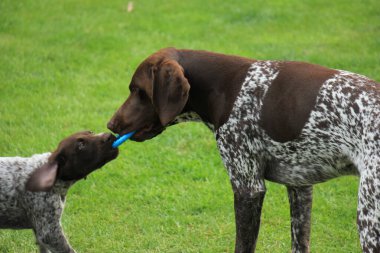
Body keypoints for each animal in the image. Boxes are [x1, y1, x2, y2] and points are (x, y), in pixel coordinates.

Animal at [107, 48, 380, 253]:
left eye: (138, 90)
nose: (110, 125)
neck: (225, 87)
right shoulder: (300, 187)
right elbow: (299, 241)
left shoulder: (247, 188)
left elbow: (243, 246)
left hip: (369, 218)